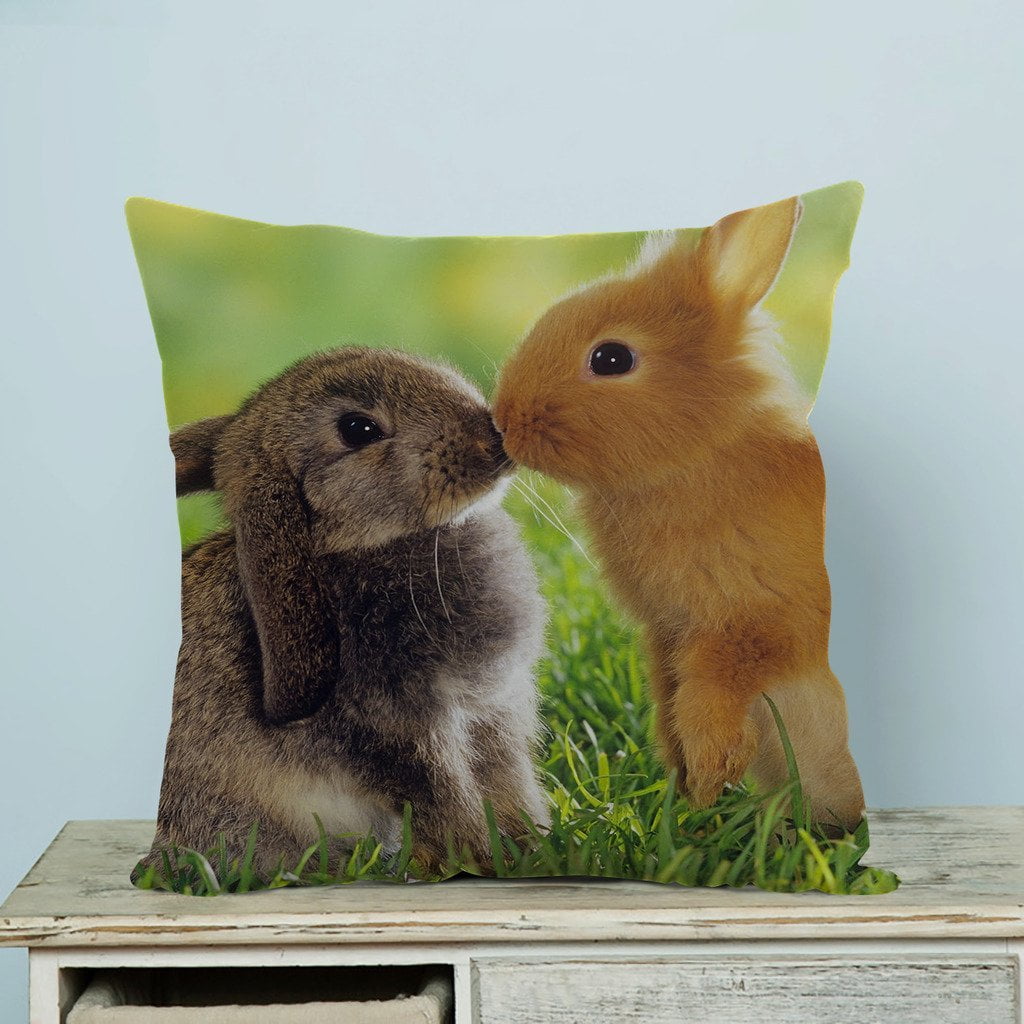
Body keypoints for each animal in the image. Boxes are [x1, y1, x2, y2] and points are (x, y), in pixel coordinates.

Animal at [141, 346, 550, 880]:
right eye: (358, 429)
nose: (493, 439)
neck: (347, 545)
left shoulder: (492, 711)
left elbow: (507, 785)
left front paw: (532, 850)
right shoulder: (398, 727)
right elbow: (445, 797)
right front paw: (478, 858)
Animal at [493, 196, 865, 833]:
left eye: (611, 357)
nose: (503, 420)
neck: (702, 453)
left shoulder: (753, 626)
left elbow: (712, 691)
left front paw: (712, 770)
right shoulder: (666, 635)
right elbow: (670, 699)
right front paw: (689, 783)